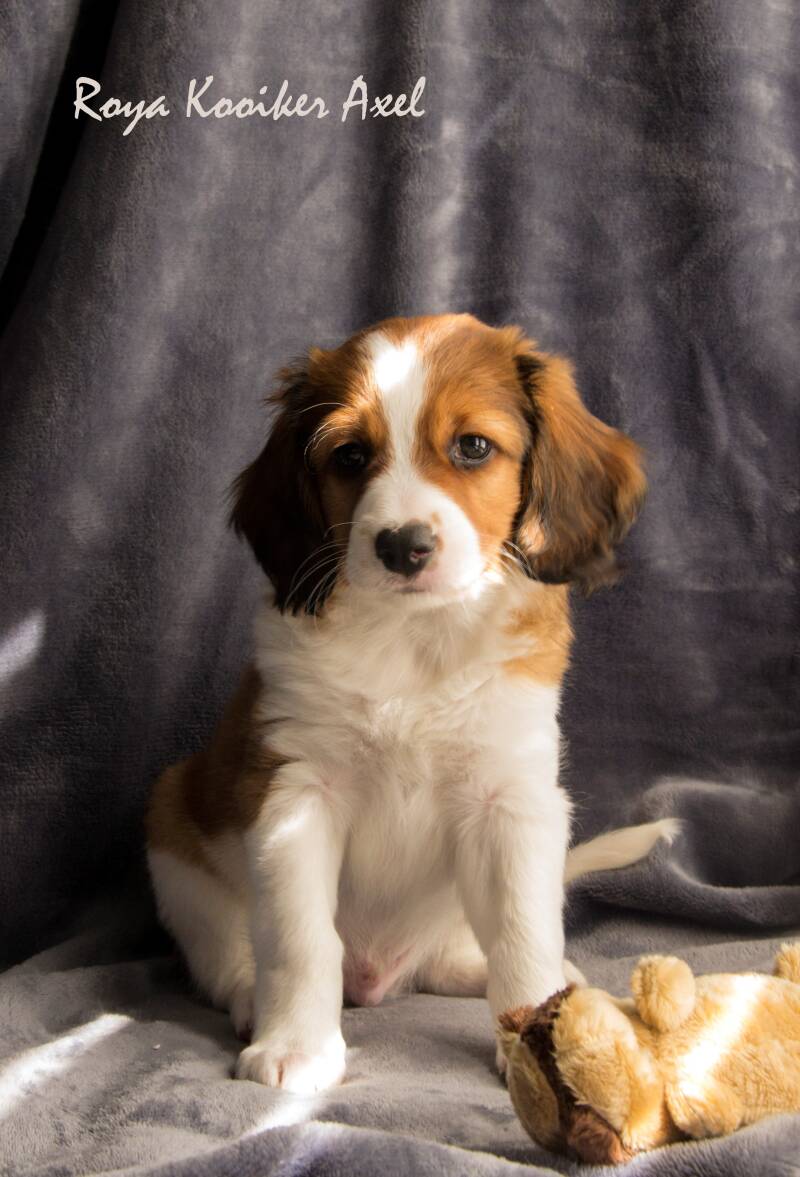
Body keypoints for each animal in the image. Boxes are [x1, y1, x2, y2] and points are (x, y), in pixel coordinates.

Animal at [146, 313, 675, 1095]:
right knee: (229, 955)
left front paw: (540, 1042)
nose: (402, 546)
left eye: (473, 446)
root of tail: (382, 974)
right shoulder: (295, 797)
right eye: (349, 456)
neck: (415, 641)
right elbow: (300, 939)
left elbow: (523, 931)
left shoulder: (510, 801)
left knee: (461, 953)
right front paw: (297, 1045)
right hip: (173, 832)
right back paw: (251, 1000)